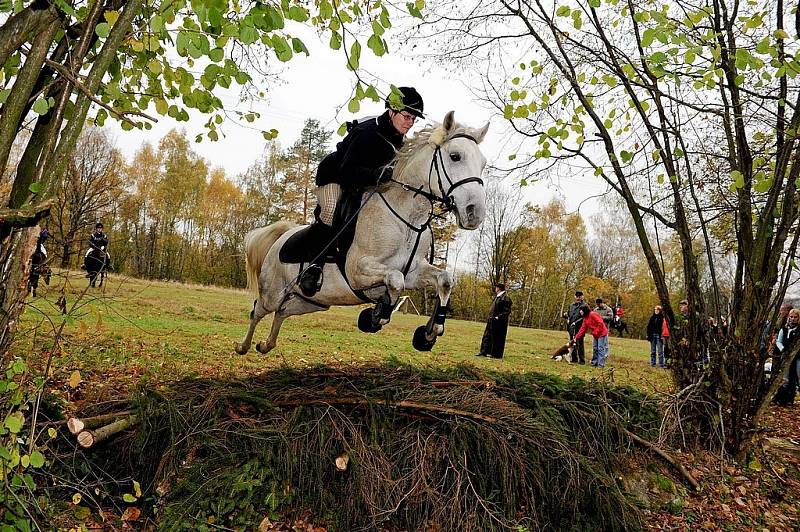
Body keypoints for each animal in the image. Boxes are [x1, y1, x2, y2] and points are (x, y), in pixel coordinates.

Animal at [234, 111, 488, 354]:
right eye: (455, 156)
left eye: (483, 163)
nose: (475, 213)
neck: (407, 217)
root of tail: (281, 238)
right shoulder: (358, 269)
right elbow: (395, 280)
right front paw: (375, 317)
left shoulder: (414, 271)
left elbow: (444, 280)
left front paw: (429, 333)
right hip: (273, 293)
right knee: (258, 311)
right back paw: (243, 346)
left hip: (310, 302)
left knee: (282, 312)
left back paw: (266, 345)